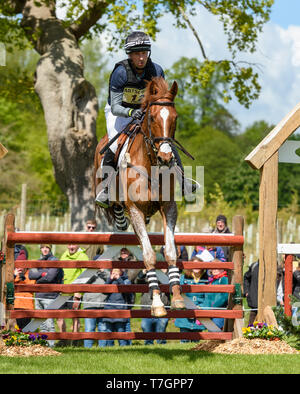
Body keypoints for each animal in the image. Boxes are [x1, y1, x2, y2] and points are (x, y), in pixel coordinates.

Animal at [94, 77, 185, 318]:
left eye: (175, 118)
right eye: (152, 118)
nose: (166, 157)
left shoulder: (169, 207)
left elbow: (170, 252)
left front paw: (178, 298)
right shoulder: (135, 209)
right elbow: (149, 255)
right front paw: (157, 304)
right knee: (115, 205)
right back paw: (118, 218)